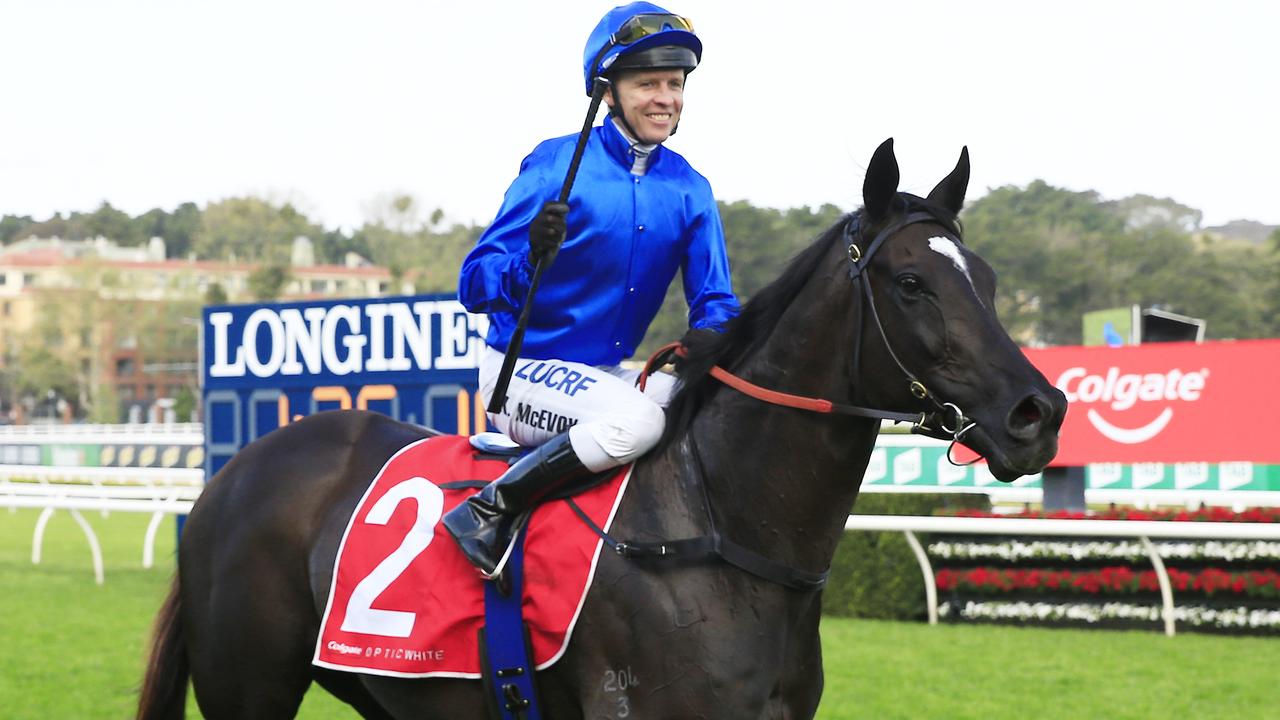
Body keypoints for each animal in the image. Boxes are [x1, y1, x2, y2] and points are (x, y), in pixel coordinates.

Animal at [135, 137, 1064, 712]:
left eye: (984, 278)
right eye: (911, 283)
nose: (1039, 413)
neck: (718, 529)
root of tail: (239, 466)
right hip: (248, 685)